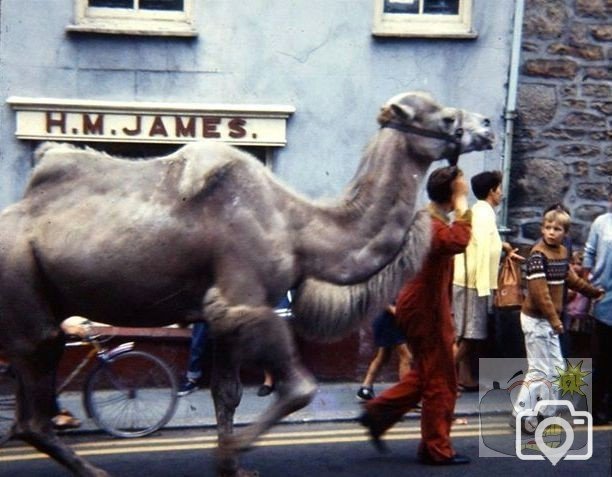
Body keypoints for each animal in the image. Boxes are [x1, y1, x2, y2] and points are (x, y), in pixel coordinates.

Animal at [0, 91, 492, 474]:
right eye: (446, 118)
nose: (486, 124)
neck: (301, 228)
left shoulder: (219, 315)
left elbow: (228, 394)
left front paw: (233, 464)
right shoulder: (245, 301)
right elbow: (301, 388)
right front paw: (230, 453)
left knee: (27, 416)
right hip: (25, 297)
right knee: (33, 410)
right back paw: (95, 471)